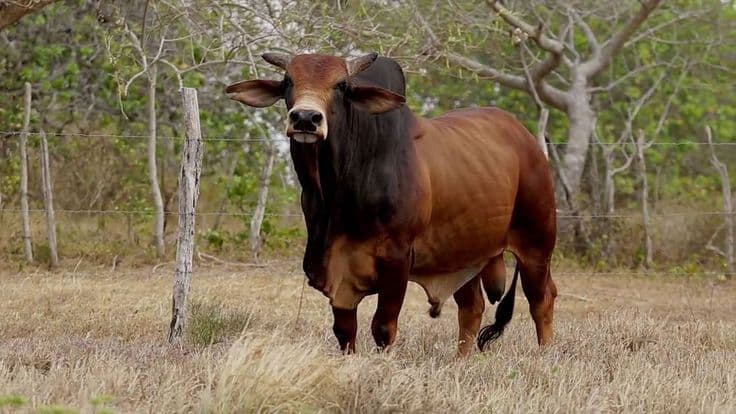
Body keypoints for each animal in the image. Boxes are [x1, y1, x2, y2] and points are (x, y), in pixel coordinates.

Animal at [226, 52, 557, 356]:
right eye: (288, 81)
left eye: (342, 85)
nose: (306, 118)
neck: (337, 192)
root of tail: (528, 139)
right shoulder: (334, 268)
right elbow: (344, 329)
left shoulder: (397, 259)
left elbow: (383, 327)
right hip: (466, 253)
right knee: (472, 307)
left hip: (536, 244)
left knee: (542, 298)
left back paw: (544, 355)